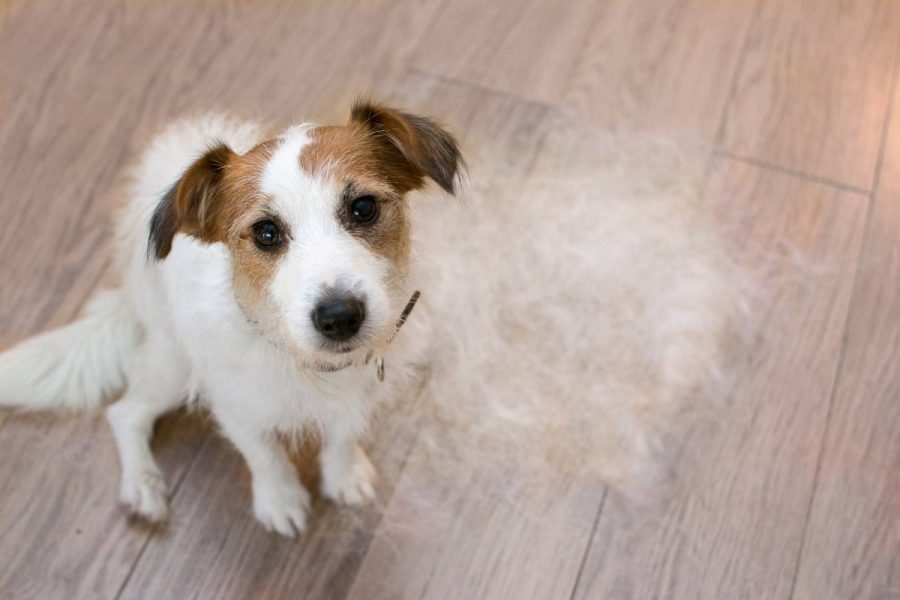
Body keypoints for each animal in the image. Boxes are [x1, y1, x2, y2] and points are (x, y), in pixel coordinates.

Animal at [0, 101, 464, 536]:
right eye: (266, 232)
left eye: (363, 207)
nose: (339, 317)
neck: (299, 357)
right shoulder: (233, 403)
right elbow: (263, 452)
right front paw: (280, 499)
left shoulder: (361, 392)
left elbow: (343, 434)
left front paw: (344, 474)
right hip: (174, 366)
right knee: (125, 412)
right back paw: (143, 485)